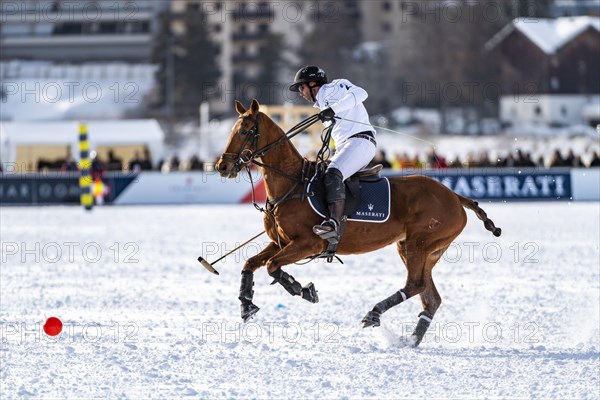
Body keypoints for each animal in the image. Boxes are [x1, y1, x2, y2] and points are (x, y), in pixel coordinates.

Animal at [216, 100, 502, 346]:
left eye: (244, 130)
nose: (222, 166)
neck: (292, 183)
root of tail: (454, 195)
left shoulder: (309, 243)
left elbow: (272, 266)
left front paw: (305, 290)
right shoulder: (281, 242)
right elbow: (250, 263)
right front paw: (246, 305)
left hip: (420, 243)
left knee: (416, 285)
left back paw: (374, 314)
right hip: (421, 248)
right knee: (430, 297)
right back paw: (410, 340)